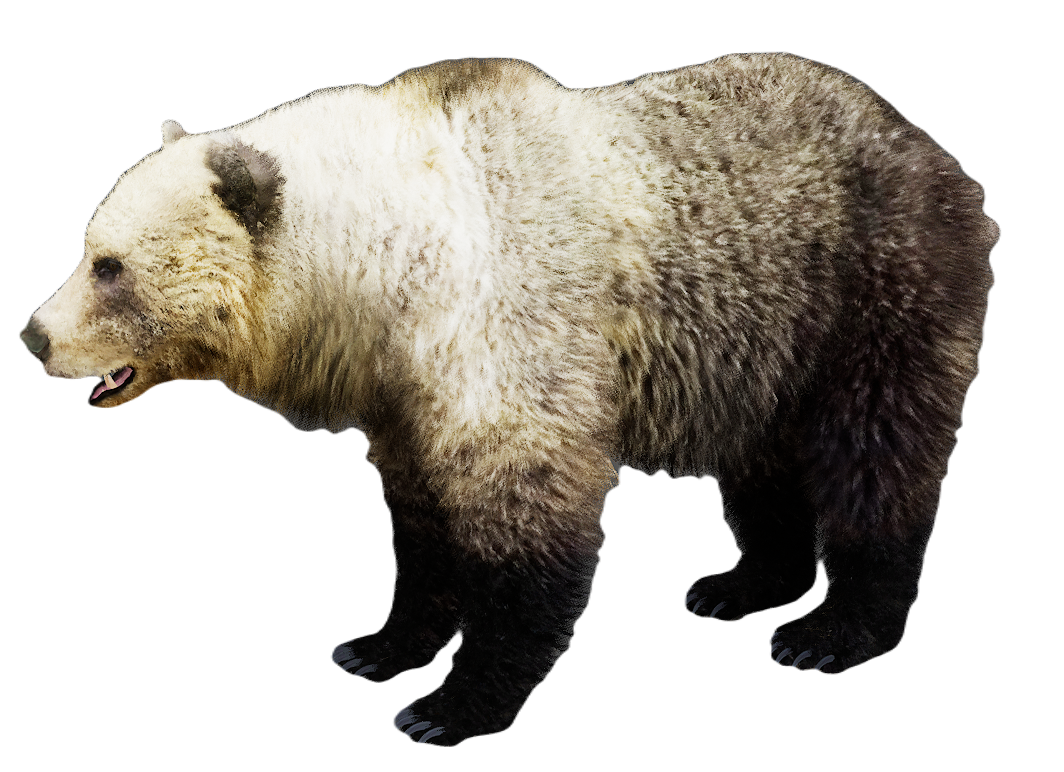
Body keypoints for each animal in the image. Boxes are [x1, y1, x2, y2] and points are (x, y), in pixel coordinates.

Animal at [18, 53, 996, 745]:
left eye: (110, 266)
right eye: (89, 246)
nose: (34, 337)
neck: (390, 263)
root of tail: (934, 151)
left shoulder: (508, 323)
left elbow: (527, 520)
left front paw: (449, 706)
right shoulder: (403, 389)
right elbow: (418, 521)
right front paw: (381, 646)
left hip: (871, 282)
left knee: (877, 449)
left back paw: (832, 629)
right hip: (760, 338)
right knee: (763, 458)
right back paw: (742, 584)